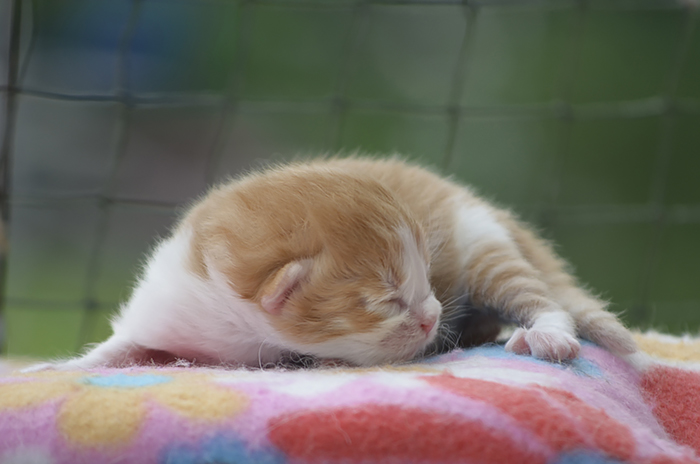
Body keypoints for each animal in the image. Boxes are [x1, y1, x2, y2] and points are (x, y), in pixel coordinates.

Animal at [31, 156, 637, 370]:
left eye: (424, 283)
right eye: (388, 299)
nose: (433, 317)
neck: (238, 330)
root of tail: (489, 209)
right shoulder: (168, 309)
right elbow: (117, 348)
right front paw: (61, 368)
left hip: (487, 249)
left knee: (547, 301)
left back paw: (547, 337)